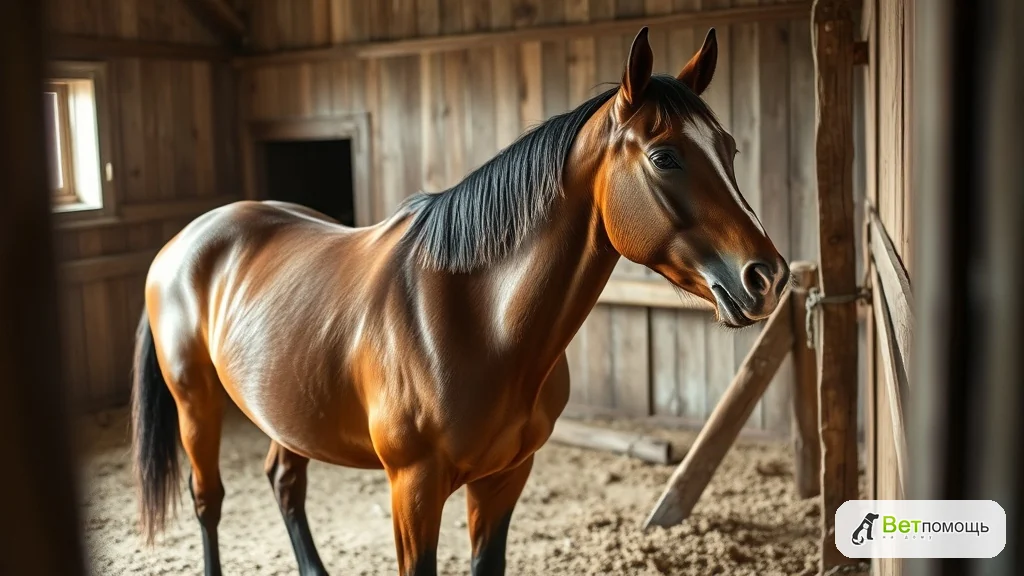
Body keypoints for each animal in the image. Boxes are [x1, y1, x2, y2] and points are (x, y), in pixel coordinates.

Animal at [131, 27, 789, 576]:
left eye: (729, 149)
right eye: (664, 156)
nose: (769, 277)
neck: (479, 323)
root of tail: (182, 242)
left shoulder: (504, 480)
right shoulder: (413, 491)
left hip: (288, 412)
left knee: (285, 482)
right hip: (195, 402)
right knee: (208, 499)